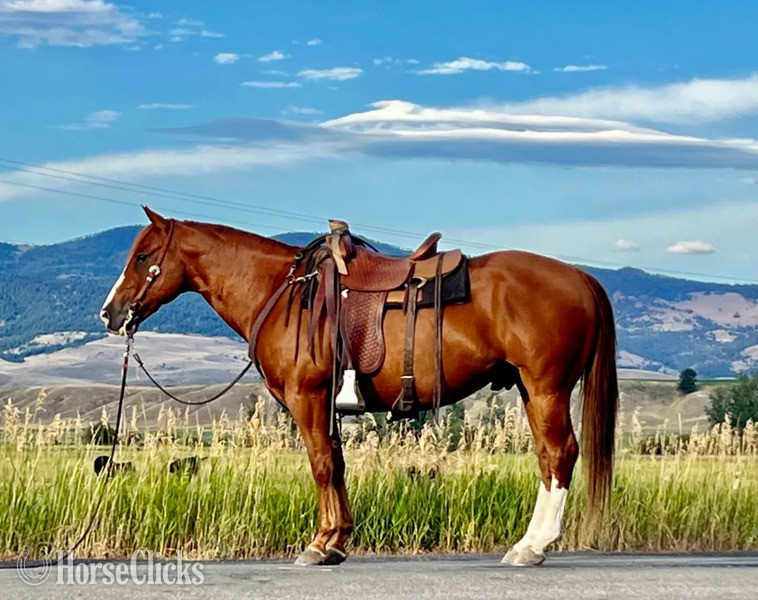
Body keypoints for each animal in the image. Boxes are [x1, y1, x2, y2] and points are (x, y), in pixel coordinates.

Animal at [100, 206, 618, 567]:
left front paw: (319, 543)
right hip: (533, 391)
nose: (109, 314)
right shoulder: (326, 406)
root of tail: (580, 276)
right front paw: (337, 541)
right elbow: (338, 464)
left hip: (547, 388)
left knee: (560, 454)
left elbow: (322, 466)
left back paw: (534, 545)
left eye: (143, 257)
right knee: (549, 458)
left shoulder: (307, 399)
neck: (283, 292)